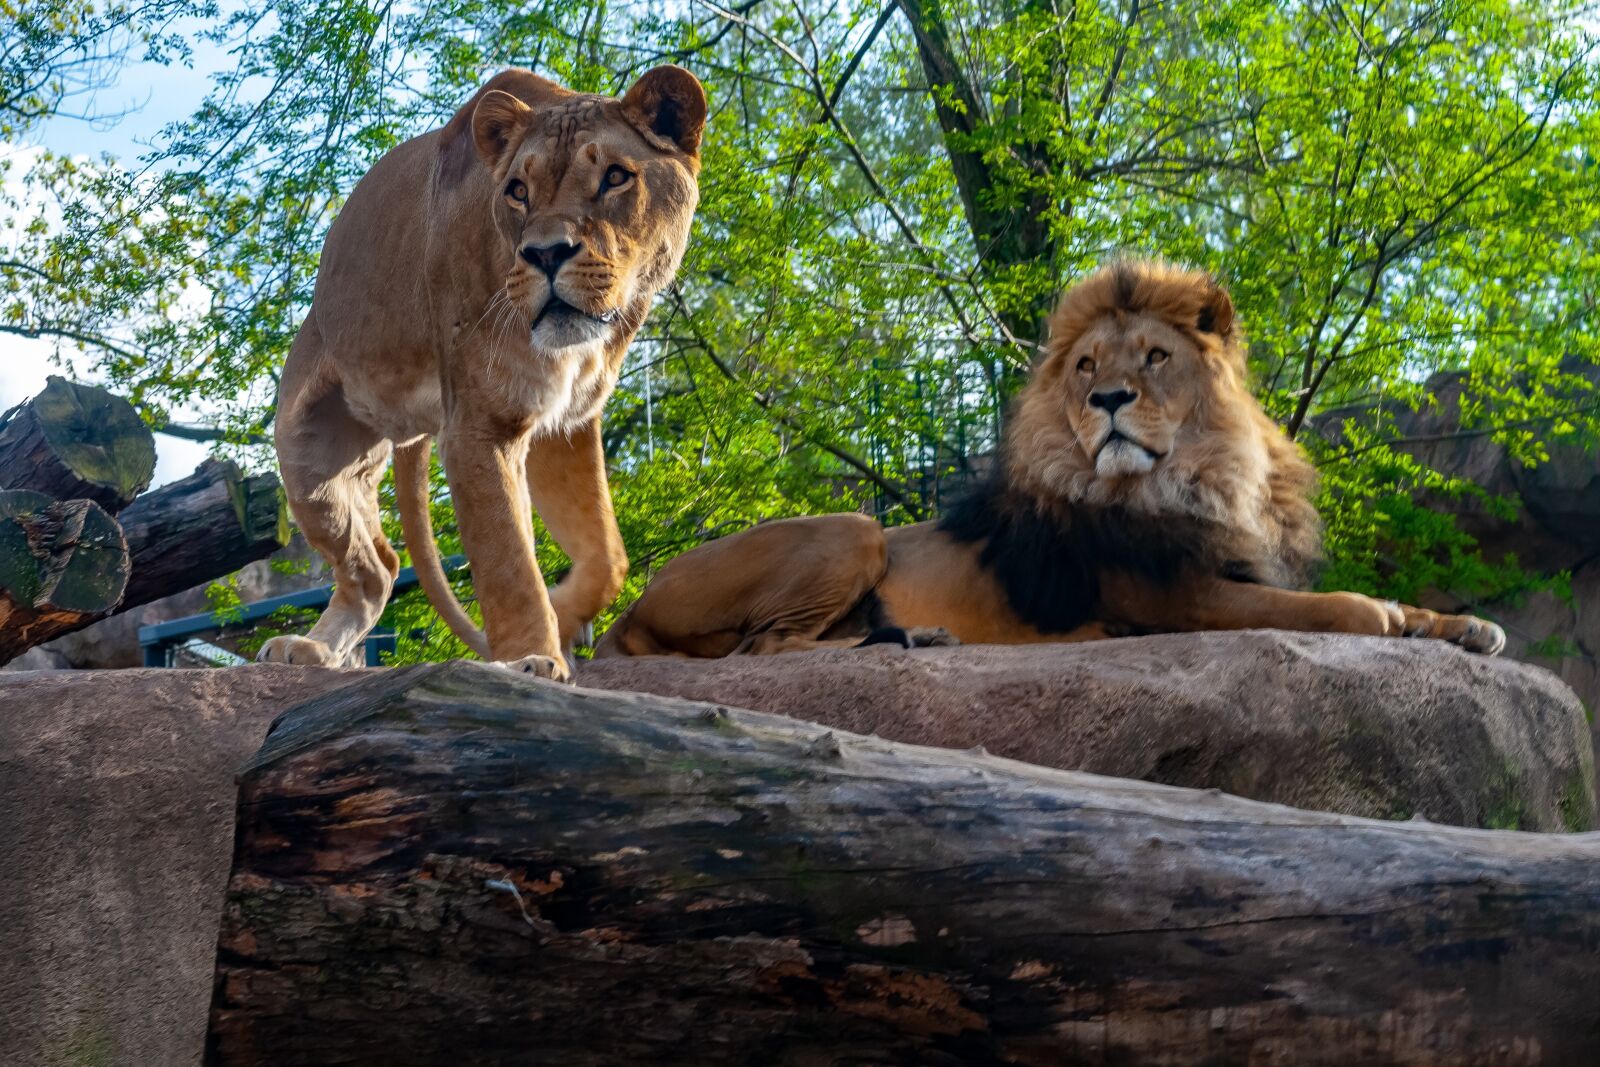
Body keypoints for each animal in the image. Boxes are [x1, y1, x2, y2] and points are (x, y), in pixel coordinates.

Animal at [257, 65, 706, 680]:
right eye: (518, 190)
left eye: (616, 177)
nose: (546, 255)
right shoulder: (481, 425)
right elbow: (508, 558)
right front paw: (531, 655)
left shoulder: (566, 423)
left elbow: (606, 555)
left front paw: (563, 618)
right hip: (306, 454)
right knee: (372, 568)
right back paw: (312, 649)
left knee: (383, 562)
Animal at [594, 259, 1506, 659]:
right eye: (1086, 366)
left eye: (1155, 357)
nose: (1109, 400)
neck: (1207, 475)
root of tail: (635, 603)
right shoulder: (1182, 597)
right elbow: (1329, 609)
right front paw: (1384, 614)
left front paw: (1462, 623)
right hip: (853, 527)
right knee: (767, 650)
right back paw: (908, 639)